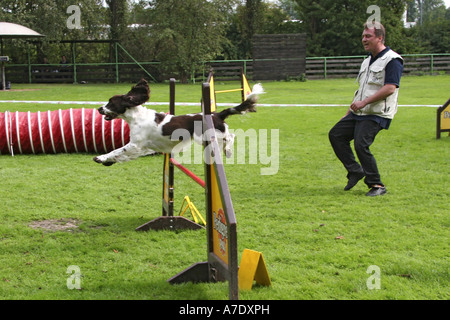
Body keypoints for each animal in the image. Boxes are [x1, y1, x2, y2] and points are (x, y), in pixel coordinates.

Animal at [93, 79, 266, 166]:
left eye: (111, 102)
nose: (99, 109)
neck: (136, 116)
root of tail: (217, 114)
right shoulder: (145, 147)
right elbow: (122, 154)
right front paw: (109, 161)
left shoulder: (136, 144)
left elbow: (117, 150)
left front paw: (101, 158)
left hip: (209, 135)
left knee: (230, 136)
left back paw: (228, 151)